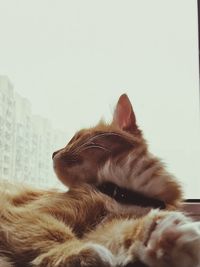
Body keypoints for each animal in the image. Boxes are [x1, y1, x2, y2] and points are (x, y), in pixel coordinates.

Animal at [0, 95, 200, 266]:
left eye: (75, 137)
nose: (53, 153)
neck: (120, 195)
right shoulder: (26, 213)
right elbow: (51, 234)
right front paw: (77, 252)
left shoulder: (105, 227)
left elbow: (116, 232)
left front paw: (164, 238)